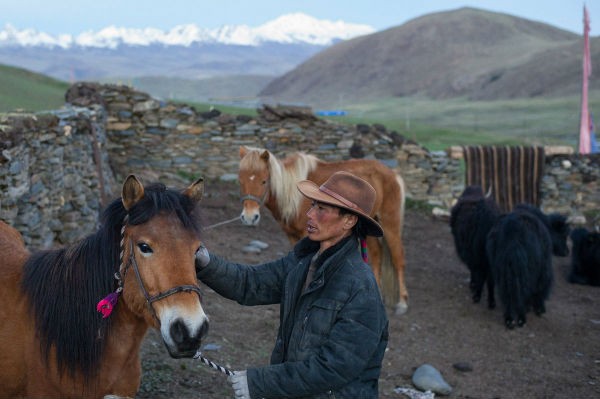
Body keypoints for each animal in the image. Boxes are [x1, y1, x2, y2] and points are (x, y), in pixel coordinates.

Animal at [238, 147, 408, 316]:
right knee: (376, 254)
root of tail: (393, 174)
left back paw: (402, 303)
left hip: (390, 224)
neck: (293, 195)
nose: (249, 217)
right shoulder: (293, 236)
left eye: (263, 181)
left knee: (398, 258)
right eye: (241, 181)